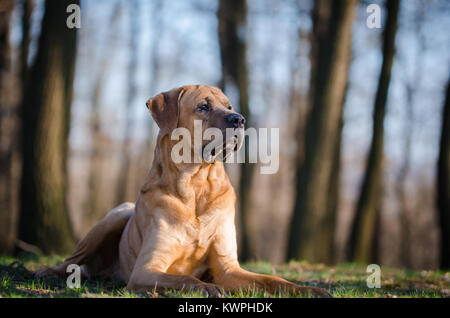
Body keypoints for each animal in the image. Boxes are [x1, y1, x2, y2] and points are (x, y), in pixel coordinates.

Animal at [37, 85, 330, 298]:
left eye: (229, 106)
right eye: (203, 106)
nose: (239, 119)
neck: (196, 185)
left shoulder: (228, 267)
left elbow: (271, 280)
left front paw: (308, 289)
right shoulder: (147, 269)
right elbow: (183, 278)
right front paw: (209, 288)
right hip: (115, 216)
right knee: (70, 260)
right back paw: (45, 273)